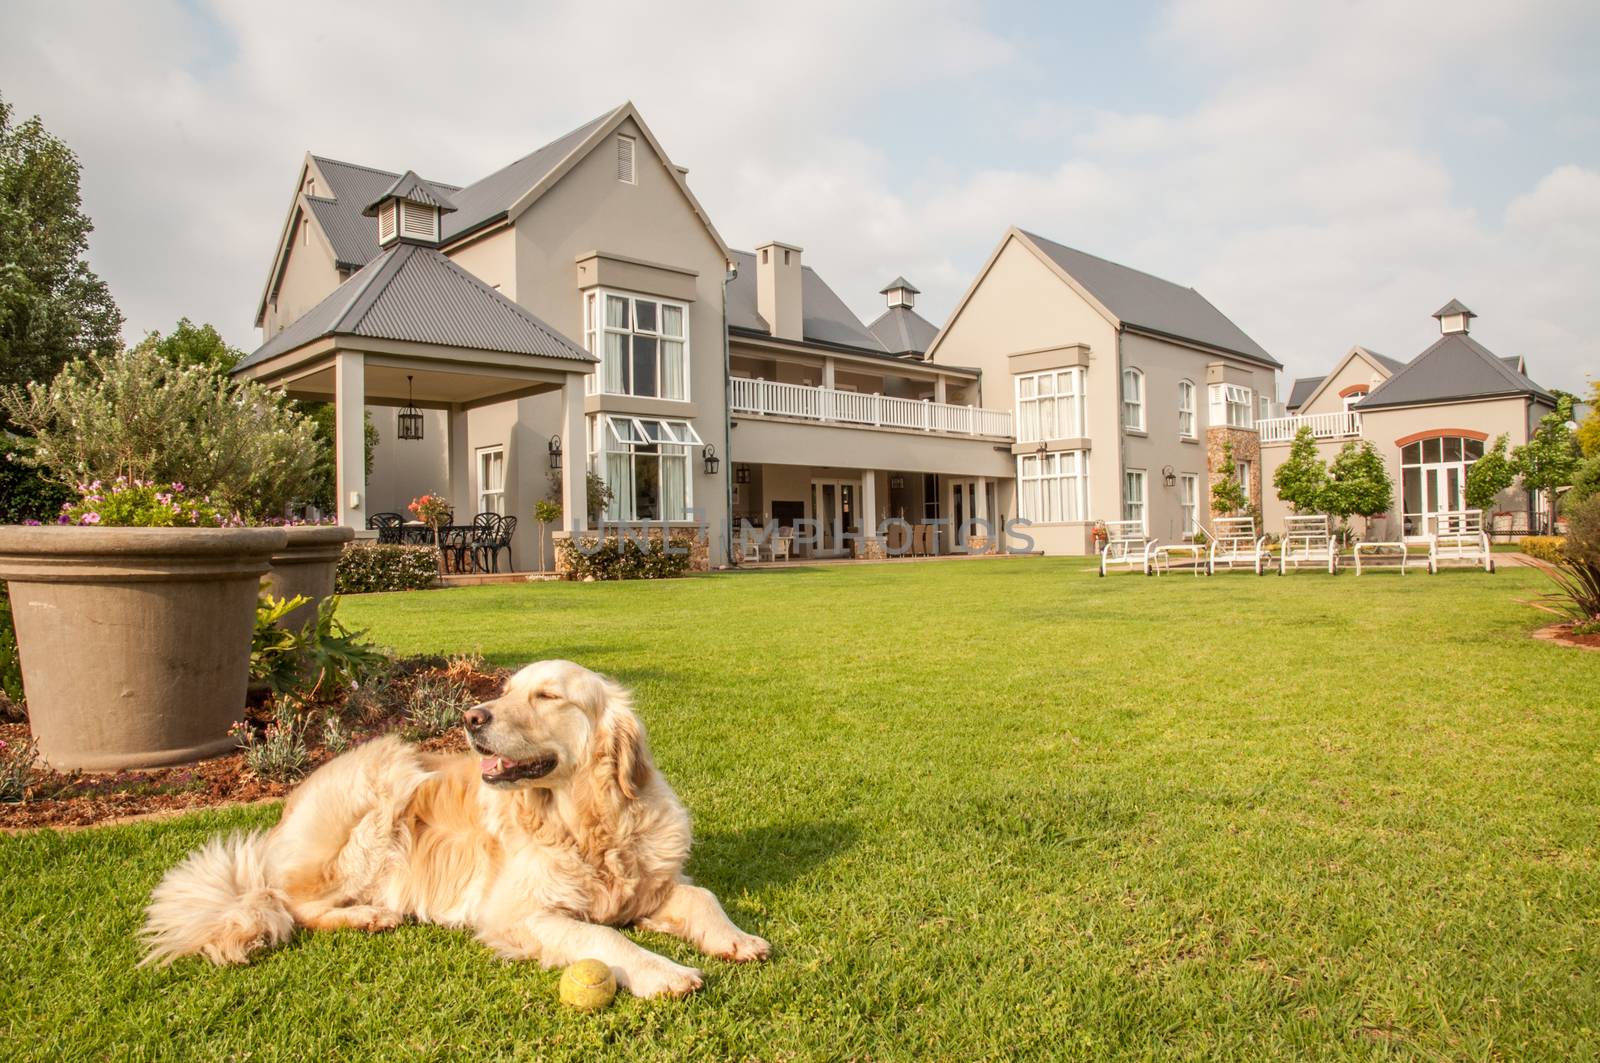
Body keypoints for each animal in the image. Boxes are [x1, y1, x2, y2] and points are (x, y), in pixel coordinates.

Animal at [140, 656, 764, 998]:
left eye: (547, 695)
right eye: (507, 690)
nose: (471, 716)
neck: (588, 827)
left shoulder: (649, 885)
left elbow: (702, 895)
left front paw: (734, 938)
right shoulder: (518, 913)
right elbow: (604, 937)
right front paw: (663, 972)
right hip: (385, 782)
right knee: (290, 904)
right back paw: (366, 915)